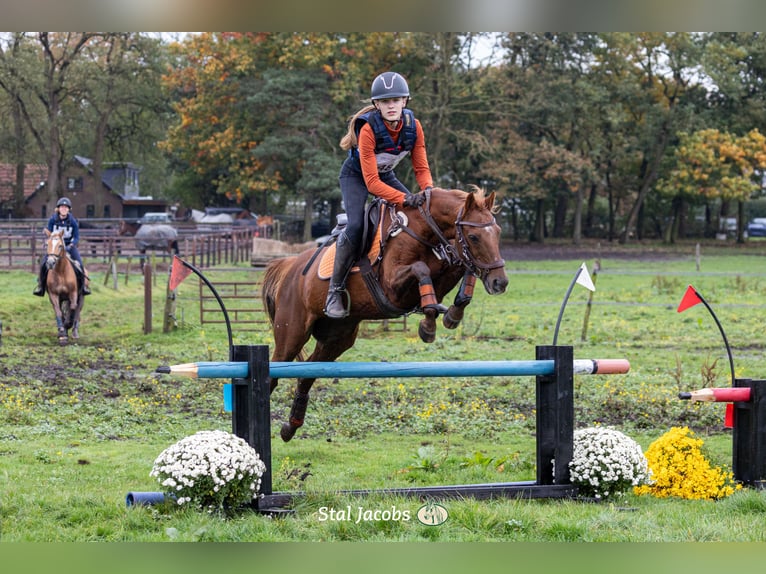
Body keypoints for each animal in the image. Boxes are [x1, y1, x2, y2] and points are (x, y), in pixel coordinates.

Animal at [262, 187, 509, 442]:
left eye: (498, 232)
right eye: (474, 237)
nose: (500, 282)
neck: (422, 230)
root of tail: (289, 266)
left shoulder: (442, 274)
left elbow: (462, 266)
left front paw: (452, 314)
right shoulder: (392, 289)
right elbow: (421, 269)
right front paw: (428, 326)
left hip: (337, 339)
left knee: (307, 375)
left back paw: (290, 427)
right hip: (292, 334)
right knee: (274, 373)